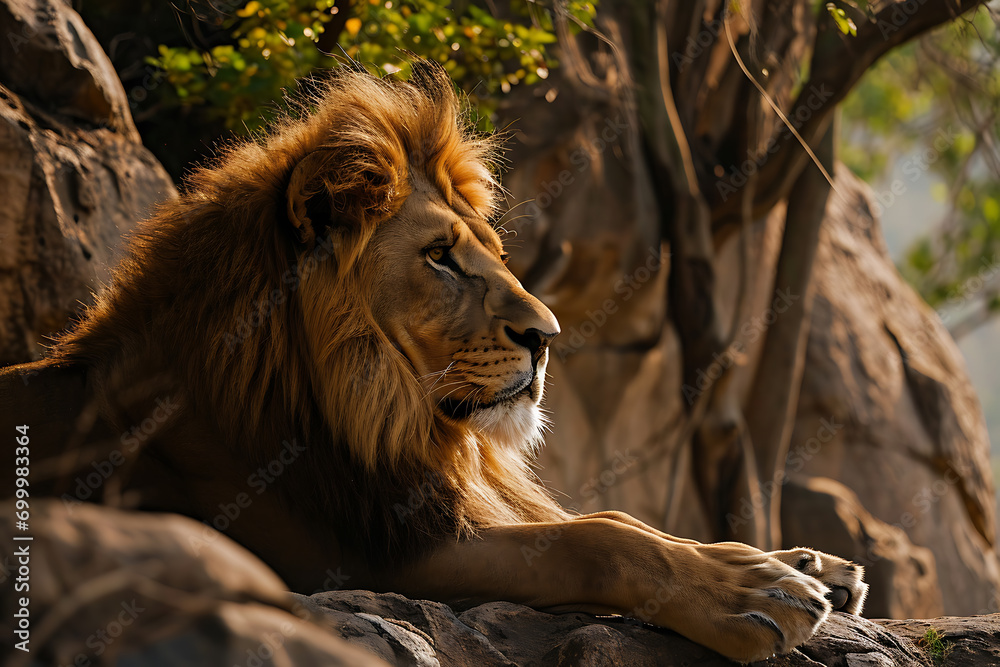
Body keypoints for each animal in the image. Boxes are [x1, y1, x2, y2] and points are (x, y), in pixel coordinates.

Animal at [0, 60, 866, 663]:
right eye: (440, 257)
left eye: (491, 253)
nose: (548, 334)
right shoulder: (360, 553)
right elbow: (597, 536)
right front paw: (752, 591)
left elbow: (609, 517)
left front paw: (803, 562)